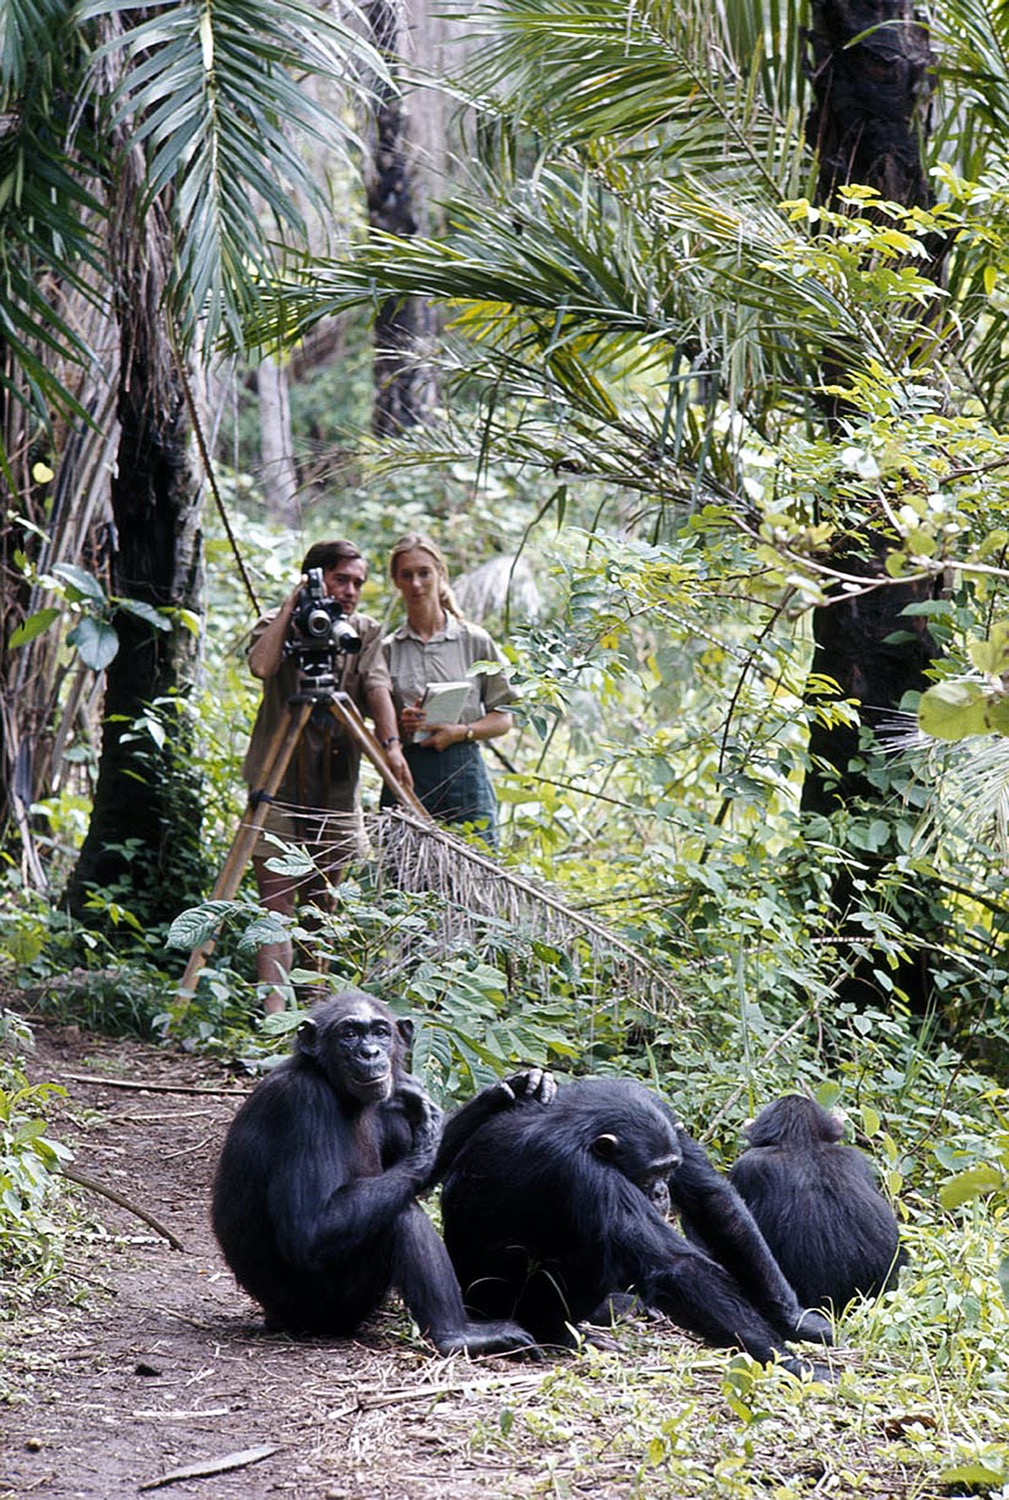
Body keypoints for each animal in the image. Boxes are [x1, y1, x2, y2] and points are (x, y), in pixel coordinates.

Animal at [211, 990, 533, 1356]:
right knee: (401, 1216)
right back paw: (458, 1335)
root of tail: (275, 1317)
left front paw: (510, 1090)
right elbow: (308, 1229)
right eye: (349, 1034)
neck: (333, 1085)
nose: (370, 1052)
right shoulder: (302, 1105)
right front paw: (429, 1129)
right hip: (326, 1307)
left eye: (380, 1032)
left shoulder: (387, 1101)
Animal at [431, 1074, 833, 1374]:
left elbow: (712, 1199)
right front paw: (794, 1365)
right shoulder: (581, 1171)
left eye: (670, 1168)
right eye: (651, 1172)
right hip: (494, 1302)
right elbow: (675, 1267)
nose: (660, 1191)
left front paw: (794, 1320)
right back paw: (559, 1332)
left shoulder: (666, 1119)